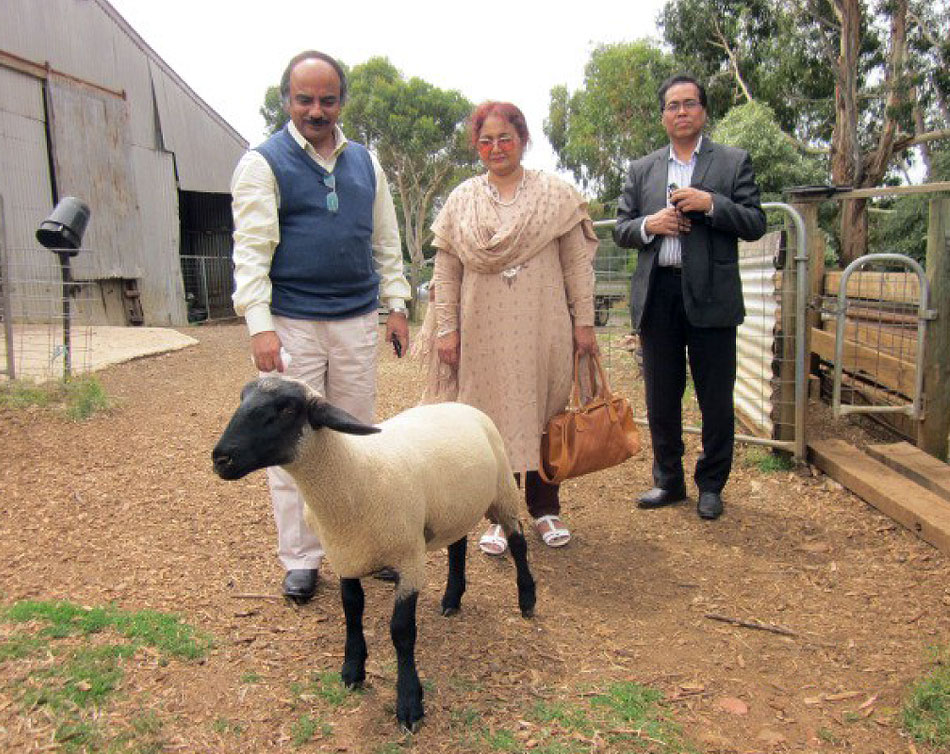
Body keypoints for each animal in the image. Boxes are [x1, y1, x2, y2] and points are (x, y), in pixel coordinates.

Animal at [212, 376, 536, 728]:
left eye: (286, 409)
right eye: (242, 399)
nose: (220, 459)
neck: (354, 475)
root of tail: (460, 405)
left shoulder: (409, 561)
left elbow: (402, 631)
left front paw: (409, 701)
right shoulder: (346, 556)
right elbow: (352, 612)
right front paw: (353, 669)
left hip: (503, 490)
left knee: (518, 541)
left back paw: (527, 600)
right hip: (453, 507)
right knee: (457, 545)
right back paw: (452, 598)